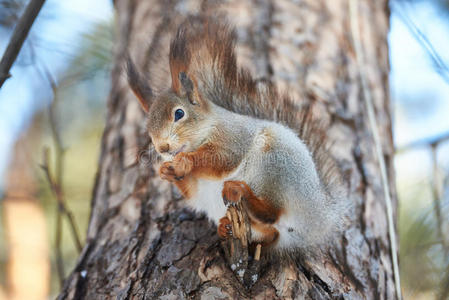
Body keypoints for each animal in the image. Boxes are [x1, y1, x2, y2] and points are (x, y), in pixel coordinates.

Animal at [126, 17, 350, 253]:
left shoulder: (234, 136)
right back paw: (227, 227)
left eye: (179, 113)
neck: (207, 127)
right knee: (270, 233)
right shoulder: (196, 188)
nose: (162, 148)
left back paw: (243, 193)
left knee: (272, 214)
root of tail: (320, 217)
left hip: (276, 166)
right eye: (148, 128)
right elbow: (189, 188)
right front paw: (166, 171)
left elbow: (222, 158)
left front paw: (186, 161)